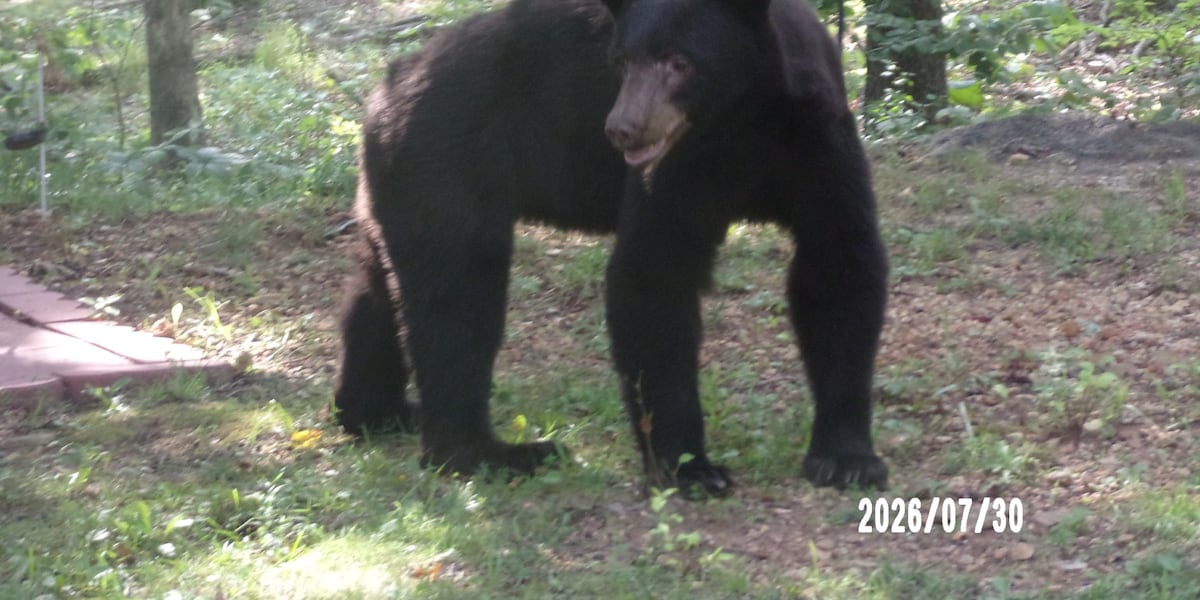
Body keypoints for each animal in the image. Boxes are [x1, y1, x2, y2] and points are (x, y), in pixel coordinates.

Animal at [335, 0, 889, 497]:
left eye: (679, 61)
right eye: (620, 60)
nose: (622, 128)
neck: (743, 123)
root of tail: (386, 85)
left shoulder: (817, 138)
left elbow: (837, 264)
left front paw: (847, 457)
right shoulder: (676, 168)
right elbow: (654, 274)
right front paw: (690, 467)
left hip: (398, 180)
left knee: (381, 291)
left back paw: (376, 411)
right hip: (448, 163)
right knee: (459, 298)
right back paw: (490, 451)